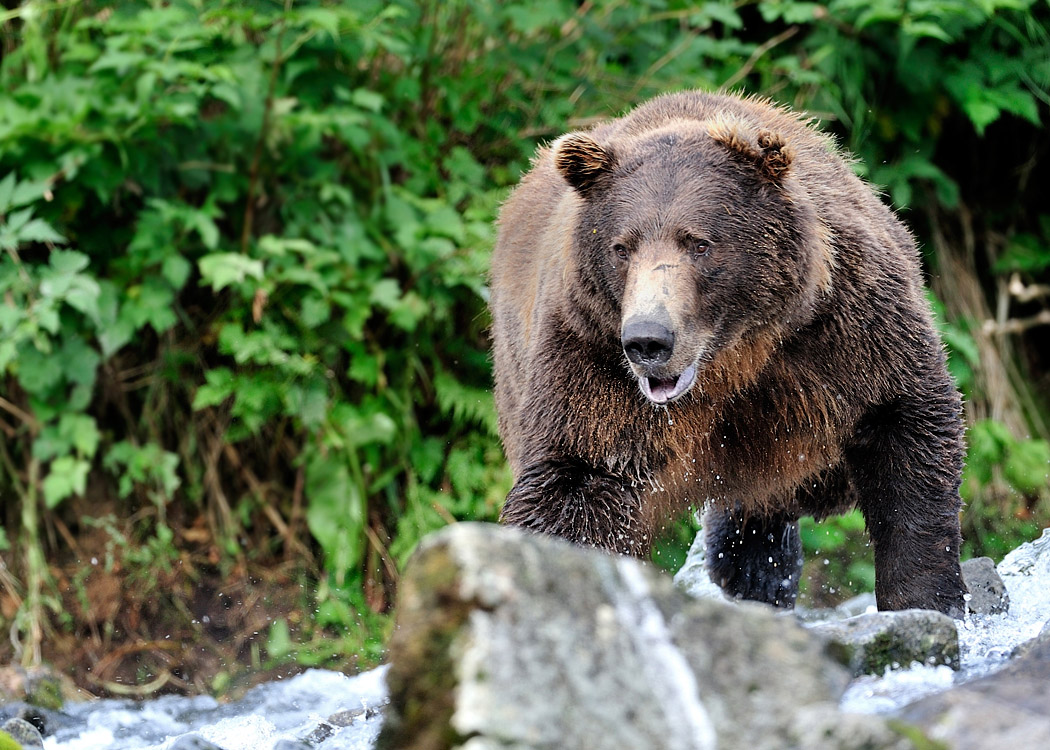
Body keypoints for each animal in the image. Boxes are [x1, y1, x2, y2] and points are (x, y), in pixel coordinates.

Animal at [491, 89, 965, 613]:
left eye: (699, 243)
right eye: (621, 247)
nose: (647, 340)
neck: (731, 358)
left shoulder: (845, 323)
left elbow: (905, 424)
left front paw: (924, 598)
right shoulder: (590, 354)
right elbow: (577, 477)